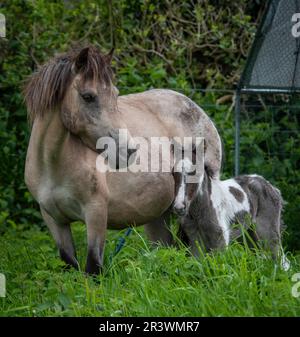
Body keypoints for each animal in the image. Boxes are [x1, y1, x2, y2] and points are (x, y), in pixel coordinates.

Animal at [24, 44, 223, 274]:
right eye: (88, 96)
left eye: (115, 94)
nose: (128, 150)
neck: (52, 165)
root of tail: (195, 108)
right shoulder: (54, 219)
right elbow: (69, 263)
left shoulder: (96, 215)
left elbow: (93, 267)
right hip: (158, 216)